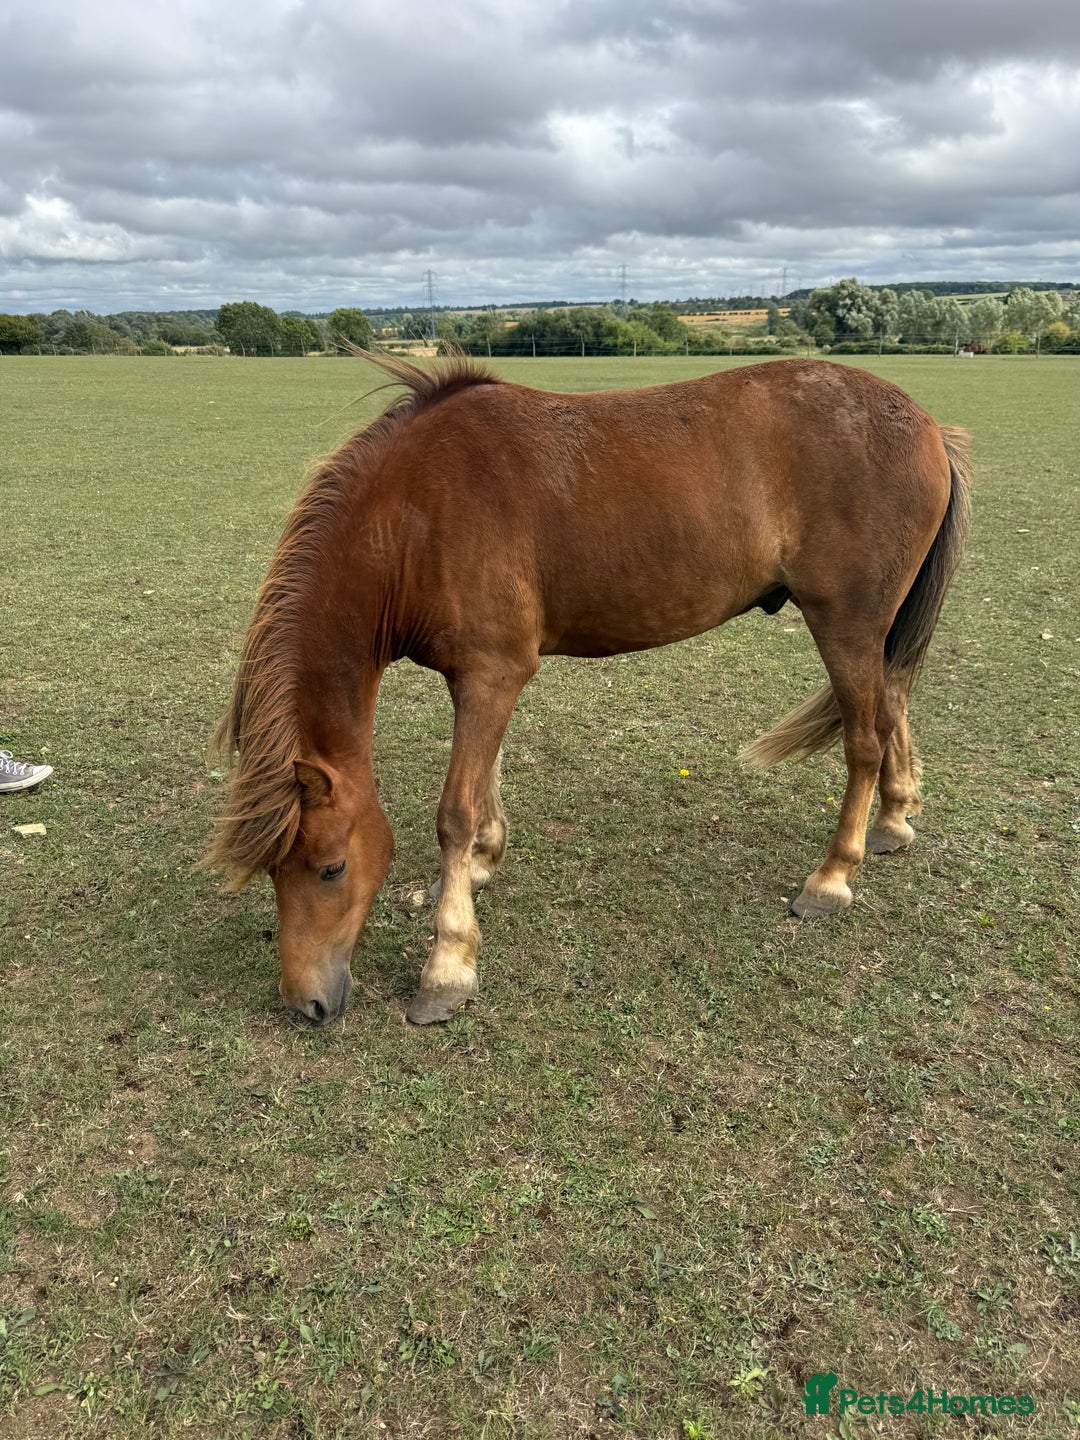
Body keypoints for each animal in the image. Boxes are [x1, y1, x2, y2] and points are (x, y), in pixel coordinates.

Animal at [205, 353, 970, 1026]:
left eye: (331, 868)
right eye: (274, 872)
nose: (306, 1002)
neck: (416, 516)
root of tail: (930, 427)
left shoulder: (492, 672)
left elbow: (455, 810)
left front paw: (448, 966)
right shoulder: (482, 678)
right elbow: (486, 779)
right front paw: (480, 864)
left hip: (846, 623)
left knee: (865, 739)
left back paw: (832, 877)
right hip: (871, 631)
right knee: (892, 703)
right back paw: (893, 820)